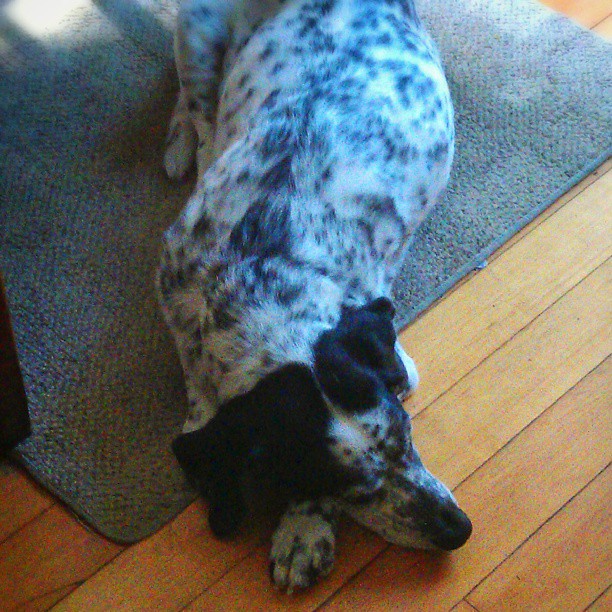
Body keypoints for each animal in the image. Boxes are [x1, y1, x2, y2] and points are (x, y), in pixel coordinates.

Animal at [159, 0, 474, 592]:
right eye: (353, 490)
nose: (459, 530)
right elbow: (197, 395)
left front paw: (302, 530)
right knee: (194, 107)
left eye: (406, 436)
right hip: (195, 32)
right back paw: (186, 147)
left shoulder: (395, 357)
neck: (254, 276)